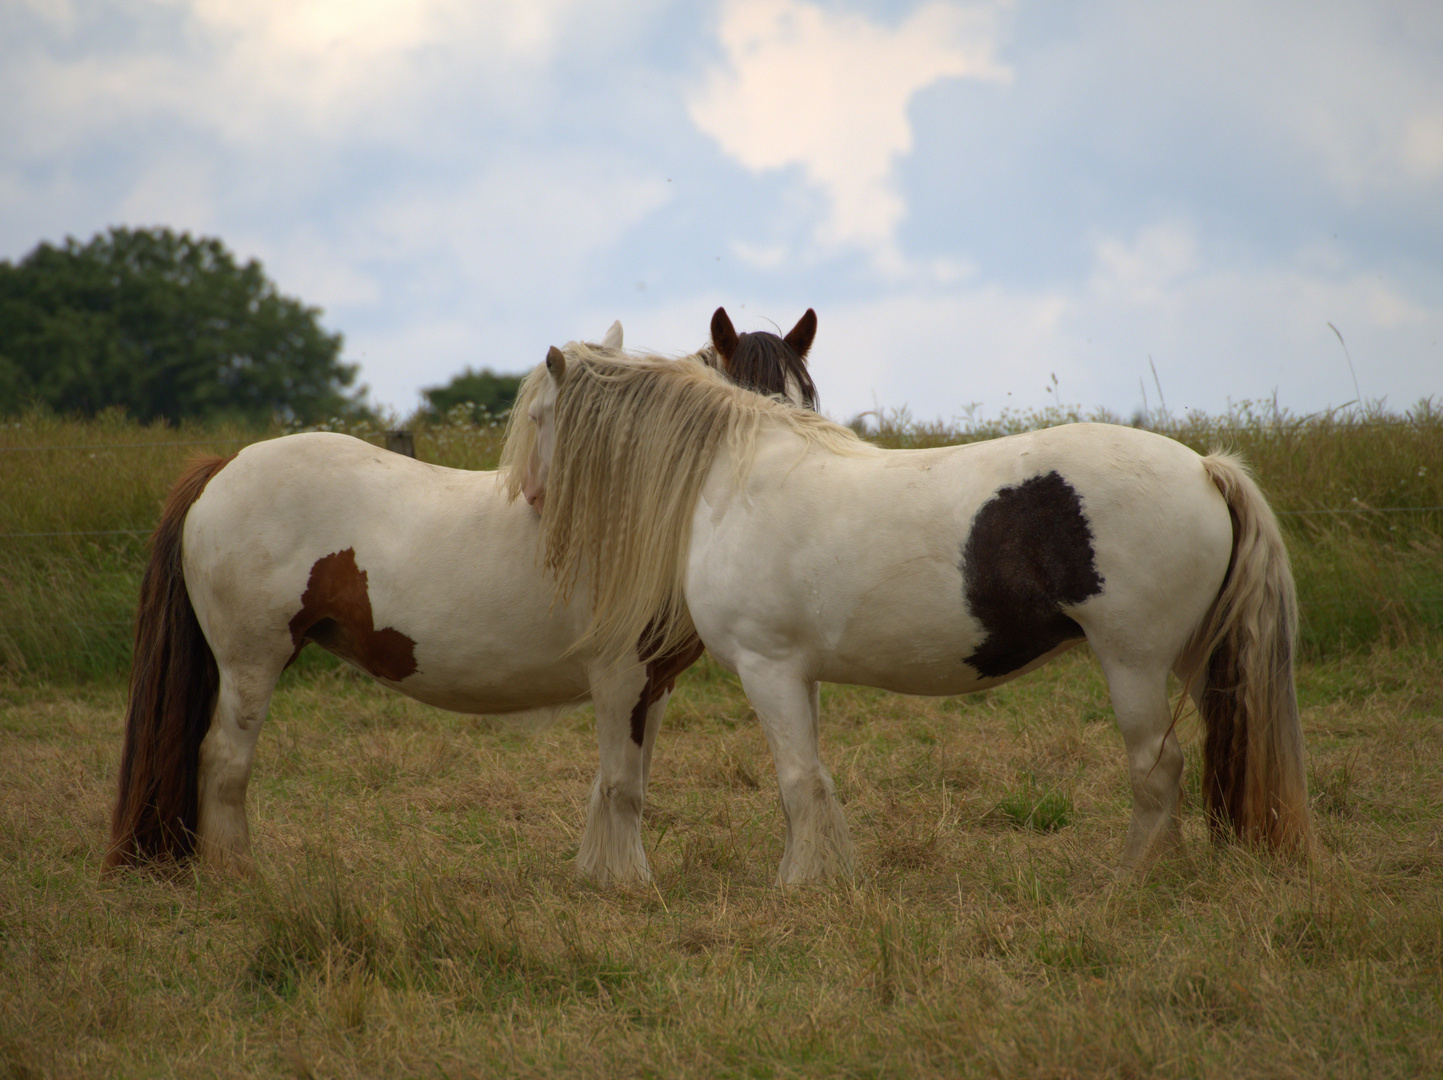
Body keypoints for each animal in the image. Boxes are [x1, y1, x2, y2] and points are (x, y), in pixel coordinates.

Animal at [101, 307, 825, 883]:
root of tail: (224, 467)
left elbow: (631, 782)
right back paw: (236, 874)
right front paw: (627, 885)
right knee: (224, 761)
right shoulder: (619, 678)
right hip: (251, 662)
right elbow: (622, 786)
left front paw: (609, 874)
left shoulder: (655, 685)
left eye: (807, 400)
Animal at [516, 350, 1310, 883]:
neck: (735, 480)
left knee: (1157, 766)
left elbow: (796, 780)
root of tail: (1203, 468)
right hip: (1195, 661)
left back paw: (1132, 877)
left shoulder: (766, 667)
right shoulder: (797, 674)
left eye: (536, 417)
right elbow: (811, 778)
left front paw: (798, 886)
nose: (528, 496)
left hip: (1134, 665)